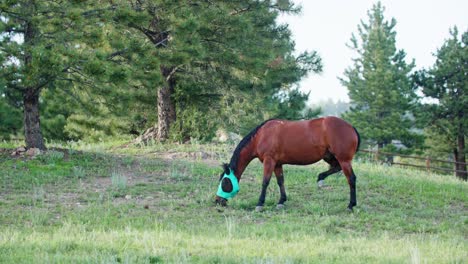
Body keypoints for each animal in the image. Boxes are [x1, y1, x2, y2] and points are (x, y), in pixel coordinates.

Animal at [216, 116, 362, 211]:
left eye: (224, 182)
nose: (217, 201)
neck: (261, 136)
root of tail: (351, 127)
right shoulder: (277, 164)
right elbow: (280, 181)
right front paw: (281, 201)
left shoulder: (269, 161)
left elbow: (265, 182)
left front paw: (260, 204)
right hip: (329, 156)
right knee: (336, 168)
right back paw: (321, 178)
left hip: (343, 160)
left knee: (351, 179)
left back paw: (351, 205)